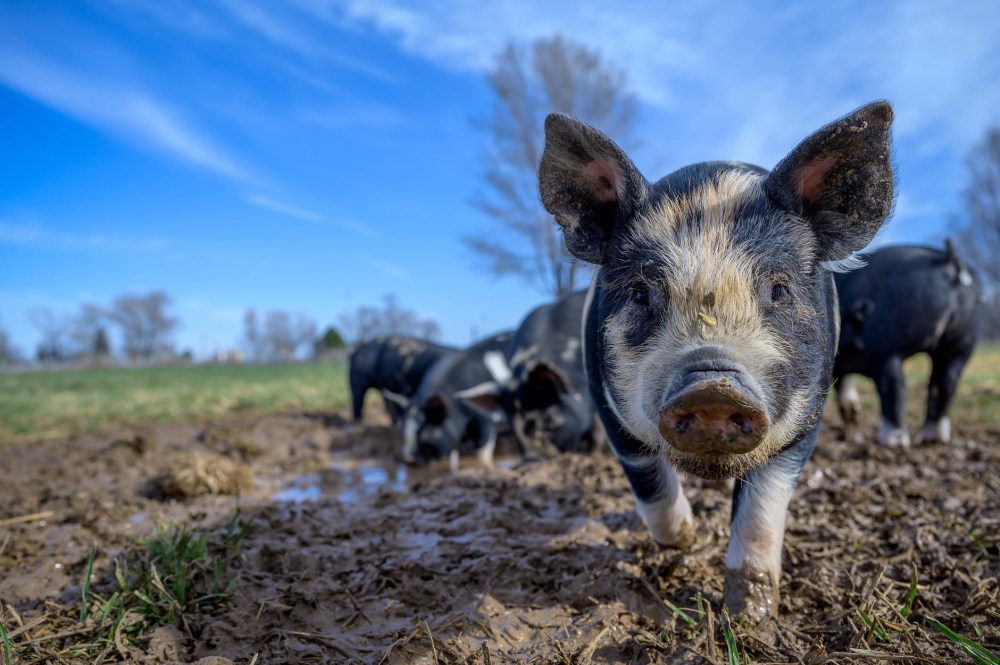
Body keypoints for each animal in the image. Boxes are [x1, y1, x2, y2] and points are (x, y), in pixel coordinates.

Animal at [538, 101, 895, 621]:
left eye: (779, 289)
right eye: (641, 293)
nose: (713, 387)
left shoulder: (806, 419)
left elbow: (761, 512)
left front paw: (750, 616)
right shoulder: (607, 407)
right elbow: (651, 485)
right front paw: (686, 542)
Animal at [833, 239, 980, 447]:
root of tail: (949, 260)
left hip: (887, 348)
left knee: (895, 387)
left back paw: (892, 443)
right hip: (960, 346)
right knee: (944, 384)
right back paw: (933, 440)